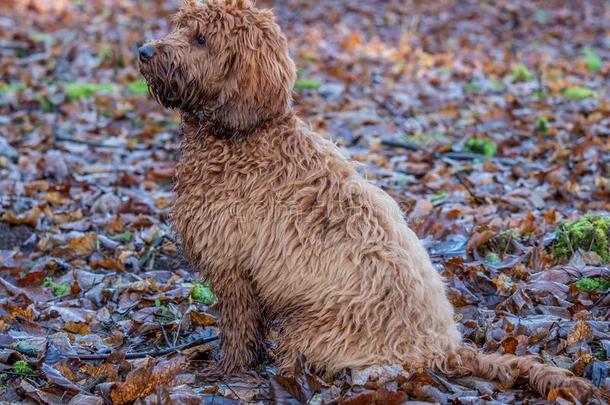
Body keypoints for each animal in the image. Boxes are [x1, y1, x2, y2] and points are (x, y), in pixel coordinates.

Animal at [139, 0, 600, 400]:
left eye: (201, 39)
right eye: (180, 26)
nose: (143, 50)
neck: (245, 136)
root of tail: (444, 349)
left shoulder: (234, 269)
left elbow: (237, 331)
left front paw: (226, 372)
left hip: (312, 329)